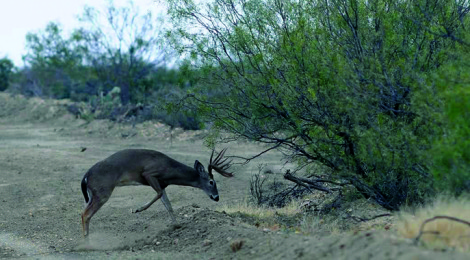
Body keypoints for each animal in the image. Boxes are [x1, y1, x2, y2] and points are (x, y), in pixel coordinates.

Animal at [82, 147, 235, 237]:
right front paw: (137, 209)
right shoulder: (149, 173)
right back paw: (86, 242)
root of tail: (86, 175)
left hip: (93, 194)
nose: (216, 197)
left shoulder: (162, 184)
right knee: (85, 214)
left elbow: (168, 204)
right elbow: (160, 195)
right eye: (212, 182)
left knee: (84, 212)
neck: (170, 169)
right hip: (103, 191)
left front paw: (177, 226)